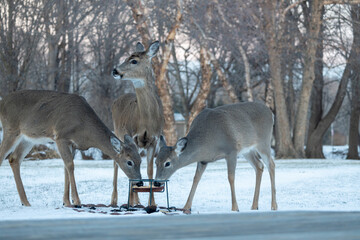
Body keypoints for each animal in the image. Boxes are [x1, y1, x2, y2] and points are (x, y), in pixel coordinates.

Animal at [0, 90, 143, 206]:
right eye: (129, 162)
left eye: (140, 161)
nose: (140, 183)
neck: (84, 128)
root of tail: (2, 102)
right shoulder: (60, 137)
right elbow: (70, 165)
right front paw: (76, 200)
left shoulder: (72, 144)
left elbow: (66, 168)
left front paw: (66, 201)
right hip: (11, 129)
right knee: (3, 156)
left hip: (28, 138)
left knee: (14, 159)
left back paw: (25, 202)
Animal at [112, 41, 164, 206]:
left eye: (134, 61)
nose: (115, 70)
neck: (146, 120)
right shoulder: (132, 137)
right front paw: (133, 201)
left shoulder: (154, 140)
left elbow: (149, 170)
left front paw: (152, 203)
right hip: (118, 133)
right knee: (116, 163)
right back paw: (115, 200)